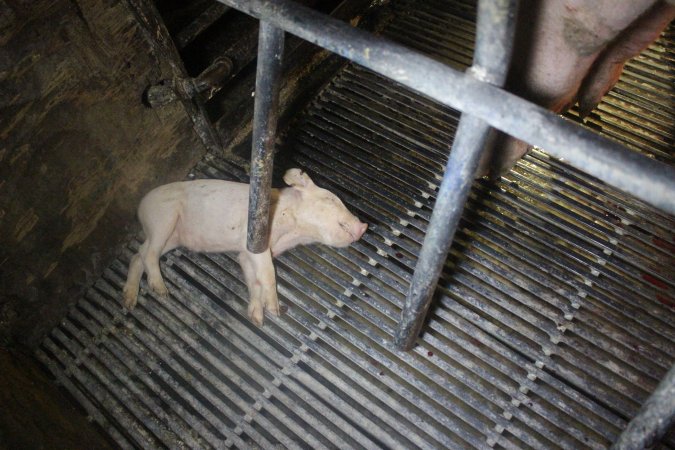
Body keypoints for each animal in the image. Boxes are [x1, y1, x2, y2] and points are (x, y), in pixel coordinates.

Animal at [124, 168, 368, 324]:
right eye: (332, 200)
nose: (363, 226)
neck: (292, 231)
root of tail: (140, 207)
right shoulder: (254, 241)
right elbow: (268, 273)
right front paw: (274, 310)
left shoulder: (245, 254)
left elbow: (254, 280)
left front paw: (257, 319)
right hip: (163, 218)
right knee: (148, 253)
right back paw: (161, 291)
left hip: (173, 237)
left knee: (138, 255)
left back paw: (129, 302)